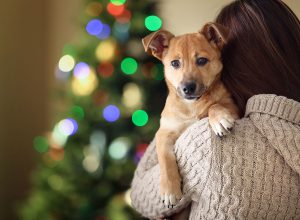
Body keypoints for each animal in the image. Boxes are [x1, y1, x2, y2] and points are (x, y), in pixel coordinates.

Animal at [142, 22, 239, 208]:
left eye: (201, 61)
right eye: (175, 63)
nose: (188, 88)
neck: (192, 106)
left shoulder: (234, 107)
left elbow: (215, 105)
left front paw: (219, 119)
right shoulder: (164, 132)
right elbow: (164, 157)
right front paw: (169, 190)